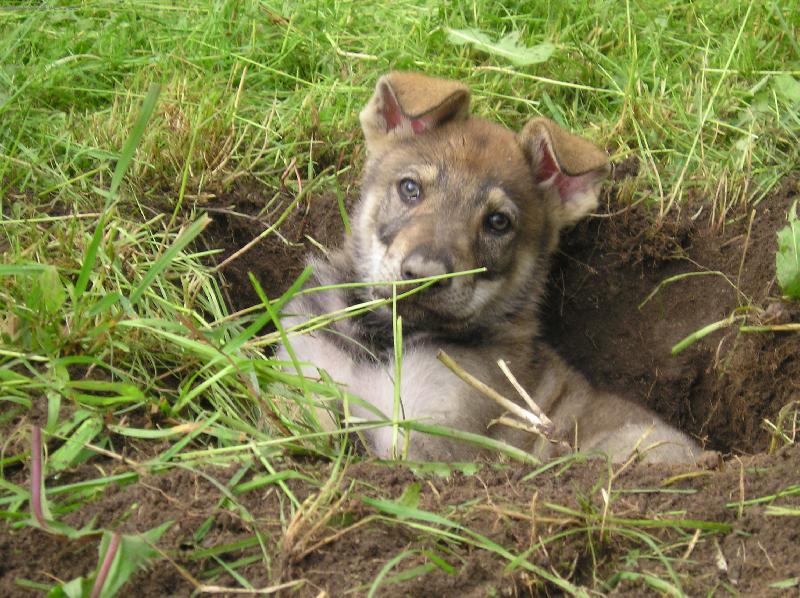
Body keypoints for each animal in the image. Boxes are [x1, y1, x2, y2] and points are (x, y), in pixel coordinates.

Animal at [277, 72, 700, 464]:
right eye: (410, 188)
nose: (425, 275)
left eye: (498, 222)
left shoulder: (424, 433)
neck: (378, 340)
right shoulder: (302, 369)